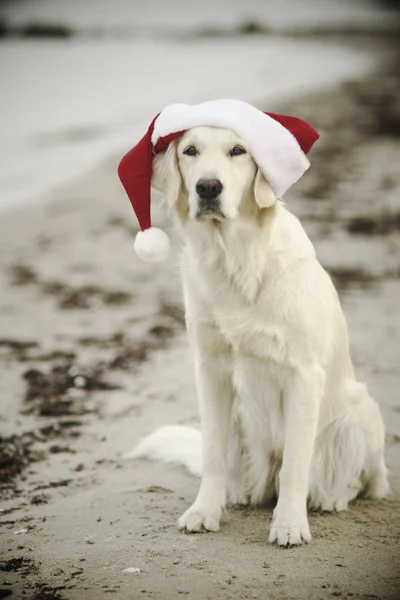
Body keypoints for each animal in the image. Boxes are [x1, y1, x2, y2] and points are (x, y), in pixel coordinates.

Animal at [133, 124, 390, 548]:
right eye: (191, 151)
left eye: (238, 151)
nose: (208, 187)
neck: (234, 258)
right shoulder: (210, 370)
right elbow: (212, 454)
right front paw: (204, 511)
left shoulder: (303, 375)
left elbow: (296, 463)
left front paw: (289, 524)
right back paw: (239, 494)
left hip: (359, 413)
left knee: (366, 480)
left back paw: (333, 497)